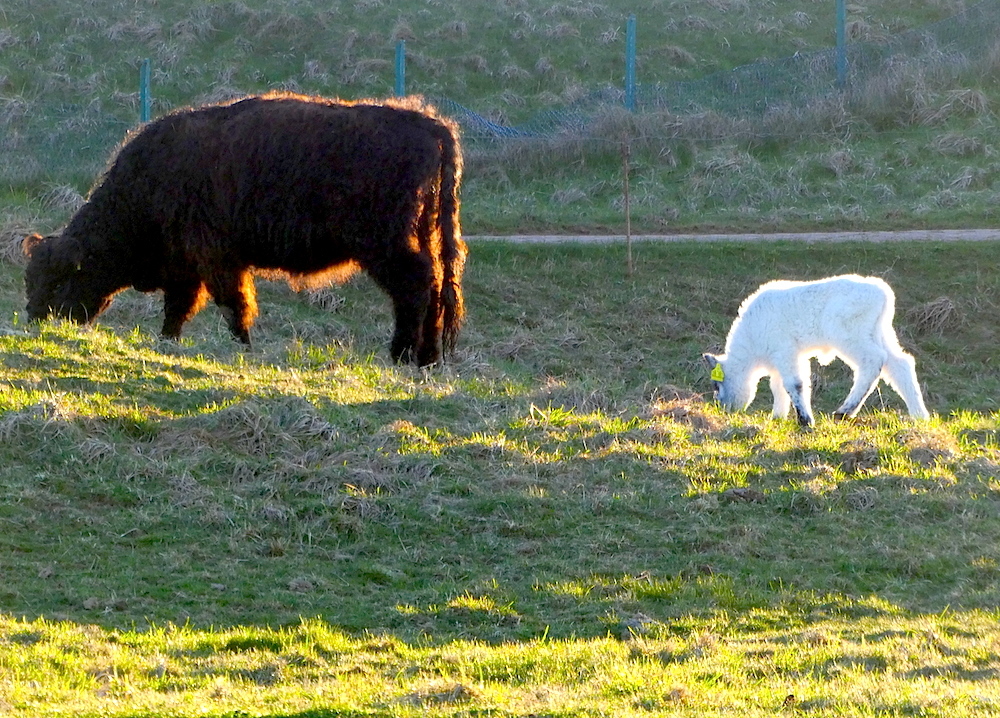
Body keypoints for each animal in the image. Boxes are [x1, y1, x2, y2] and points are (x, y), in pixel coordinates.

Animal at [22, 91, 468, 366]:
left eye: (60, 281)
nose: (35, 319)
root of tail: (427, 124)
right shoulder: (188, 266)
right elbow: (180, 308)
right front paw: (168, 341)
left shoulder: (216, 260)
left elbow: (232, 305)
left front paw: (243, 347)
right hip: (421, 236)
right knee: (434, 286)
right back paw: (426, 360)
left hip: (385, 245)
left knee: (415, 286)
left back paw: (401, 355)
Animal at [704, 276, 928, 428]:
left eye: (717, 384)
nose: (723, 408)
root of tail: (882, 292)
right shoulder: (788, 358)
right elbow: (779, 386)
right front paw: (777, 417)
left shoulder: (784, 351)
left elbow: (794, 384)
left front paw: (805, 420)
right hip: (881, 333)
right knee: (901, 364)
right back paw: (920, 415)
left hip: (851, 337)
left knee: (873, 361)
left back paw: (844, 412)